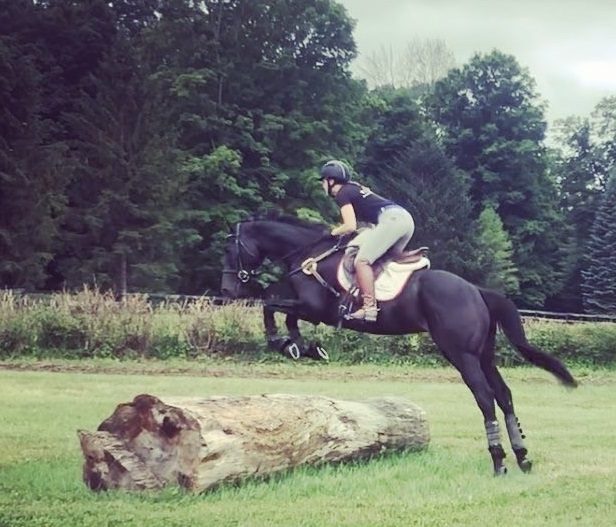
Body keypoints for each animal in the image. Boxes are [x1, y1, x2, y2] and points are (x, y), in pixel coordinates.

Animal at [221, 212, 576, 476]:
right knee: (504, 396)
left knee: (485, 398)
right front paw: (300, 346)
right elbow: (281, 311)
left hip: (461, 354)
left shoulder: (314, 308)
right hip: (484, 355)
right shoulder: (310, 310)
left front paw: (283, 342)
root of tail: (476, 290)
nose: (227, 290)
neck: (309, 255)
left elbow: (271, 305)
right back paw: (522, 456)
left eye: (229, 251)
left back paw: (499, 460)